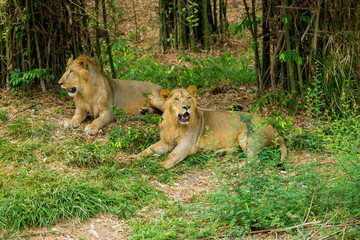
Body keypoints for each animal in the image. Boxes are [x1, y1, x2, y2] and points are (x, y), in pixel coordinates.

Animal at [132, 85, 286, 168]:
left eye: (189, 98)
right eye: (177, 99)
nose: (186, 107)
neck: (174, 123)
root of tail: (274, 128)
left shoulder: (187, 144)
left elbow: (172, 156)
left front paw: (157, 166)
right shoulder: (166, 142)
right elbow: (148, 149)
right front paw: (133, 158)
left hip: (247, 134)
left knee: (254, 159)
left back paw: (235, 165)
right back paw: (221, 154)